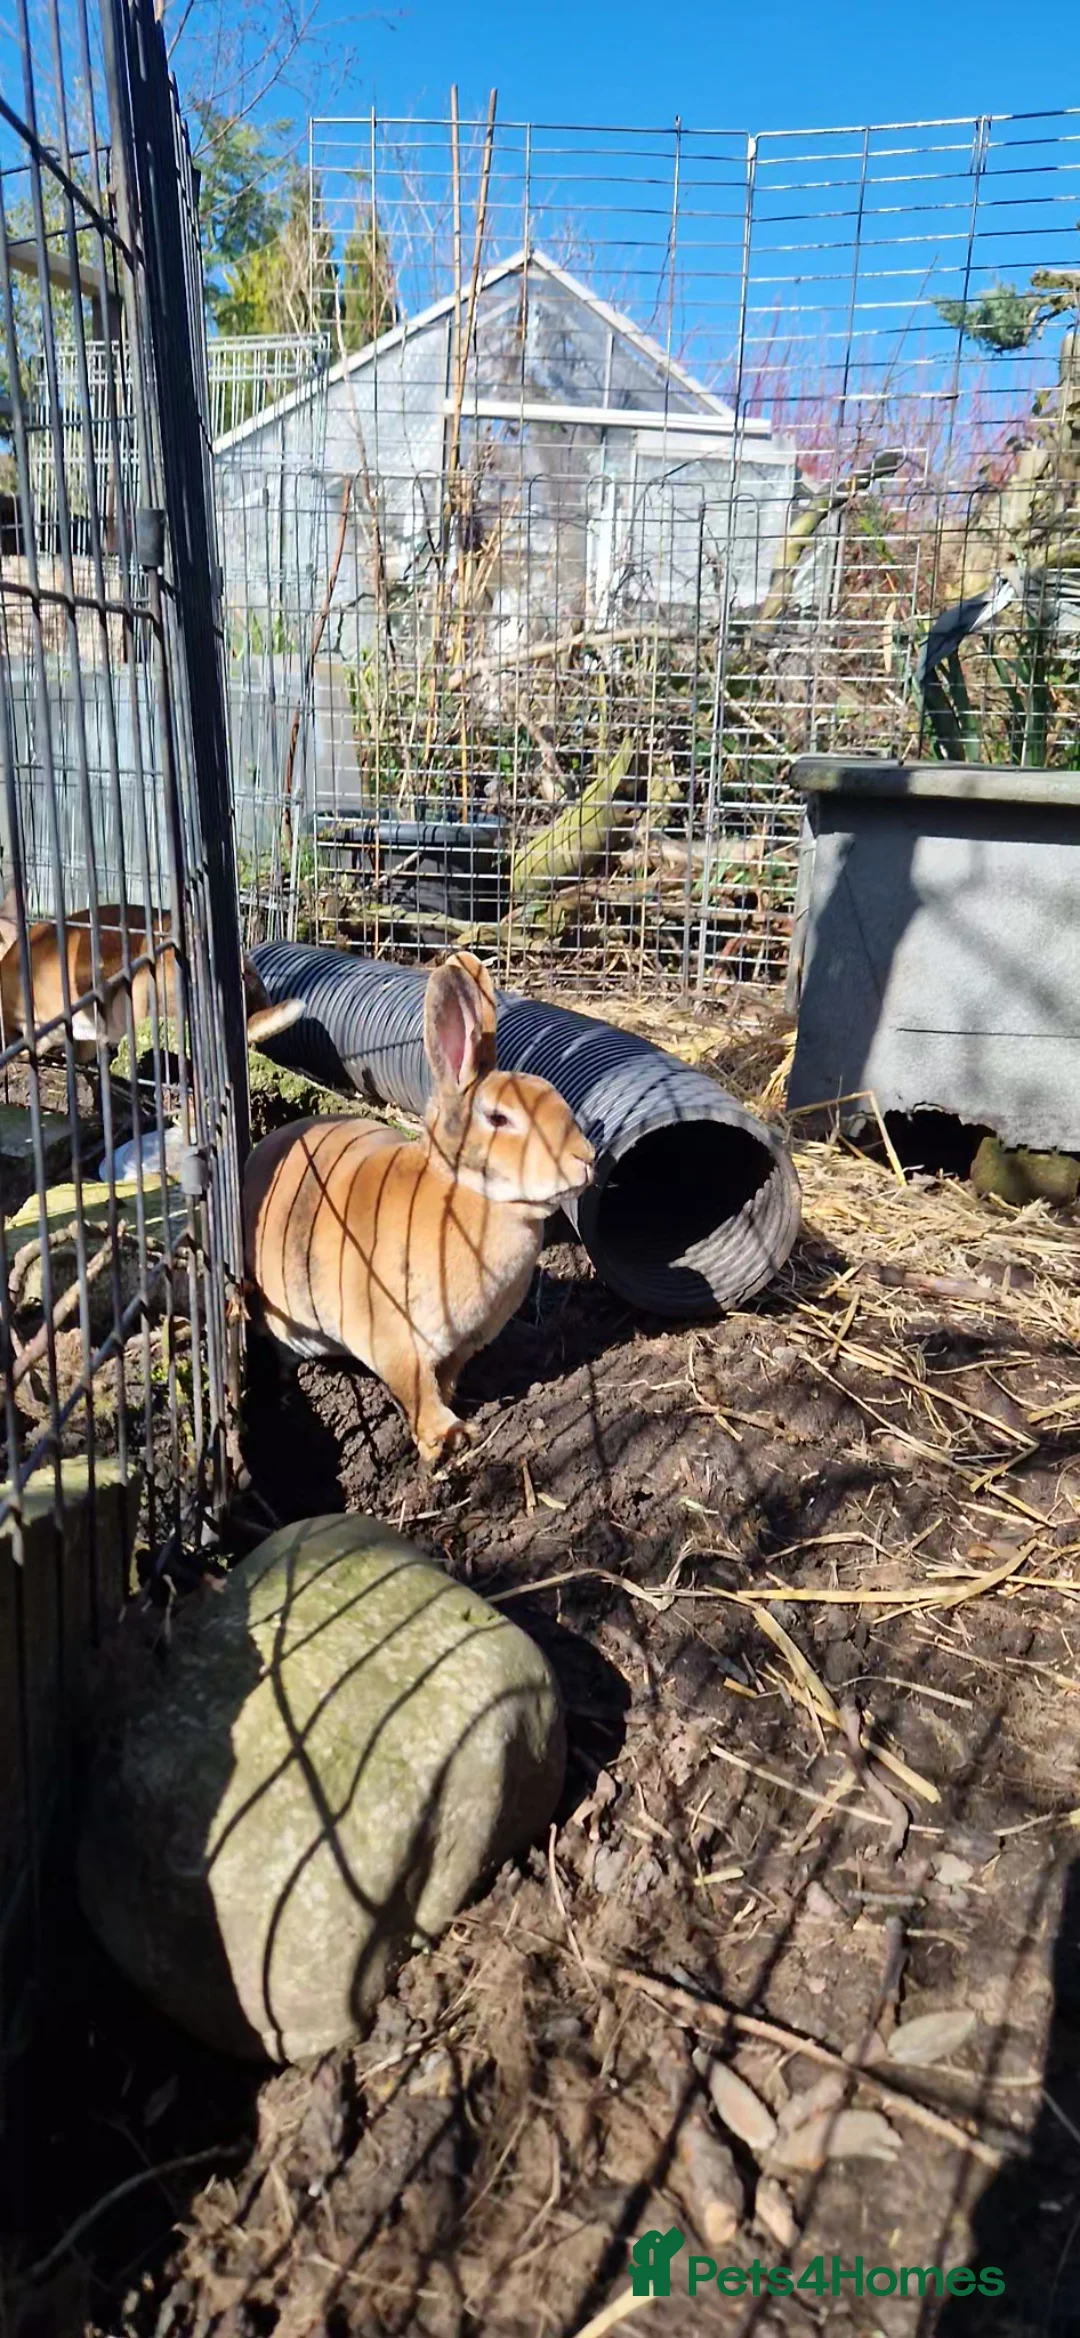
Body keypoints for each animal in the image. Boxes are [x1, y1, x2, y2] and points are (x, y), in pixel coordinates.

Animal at [243, 949, 595, 1468]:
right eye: (499, 1118)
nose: (585, 1158)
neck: (470, 1195)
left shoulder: (459, 1347)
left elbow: (442, 1379)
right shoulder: (394, 1339)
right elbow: (417, 1389)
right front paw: (446, 1439)